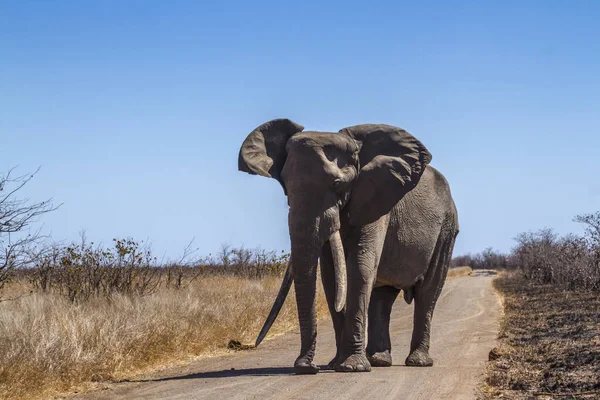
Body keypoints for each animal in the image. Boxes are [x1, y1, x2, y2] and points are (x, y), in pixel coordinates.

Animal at [237, 119, 458, 376]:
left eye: (337, 184)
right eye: (286, 187)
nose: (307, 366)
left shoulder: (376, 197)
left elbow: (360, 267)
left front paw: (352, 367)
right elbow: (331, 276)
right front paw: (336, 364)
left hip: (447, 229)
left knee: (428, 292)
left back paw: (417, 362)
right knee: (383, 297)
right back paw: (379, 360)